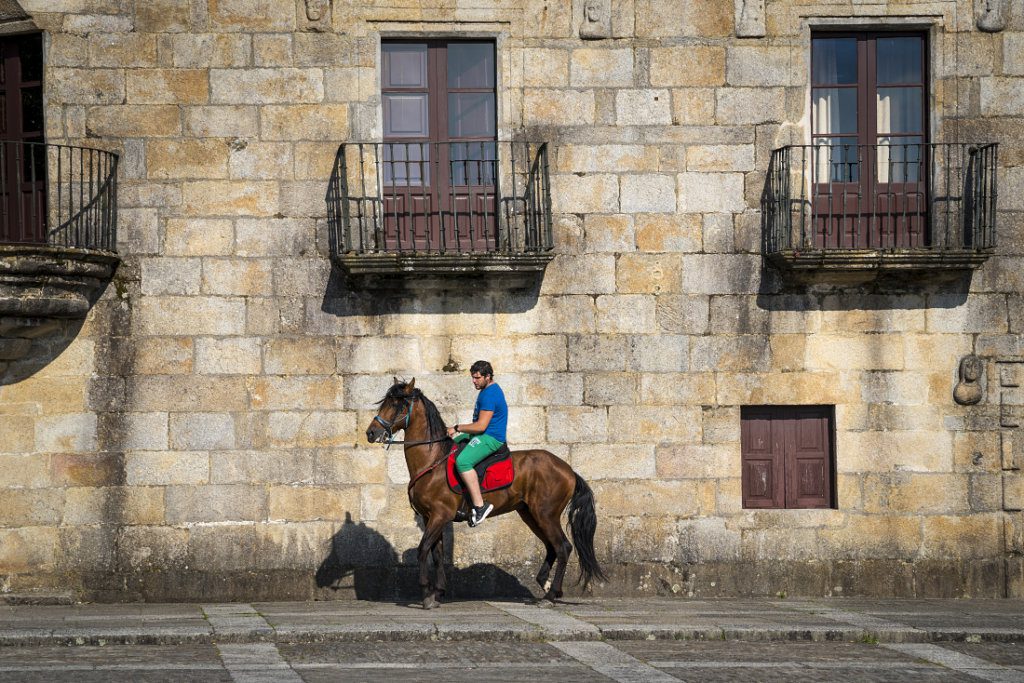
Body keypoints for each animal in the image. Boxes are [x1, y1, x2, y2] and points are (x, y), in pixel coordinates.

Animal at [368, 378, 602, 610]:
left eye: (397, 405)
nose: (371, 433)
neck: (432, 461)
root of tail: (568, 470)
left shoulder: (440, 515)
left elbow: (423, 549)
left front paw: (426, 593)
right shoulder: (430, 517)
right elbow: (437, 553)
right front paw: (438, 592)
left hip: (545, 514)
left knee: (562, 547)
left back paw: (551, 594)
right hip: (530, 514)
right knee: (551, 546)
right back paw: (544, 583)